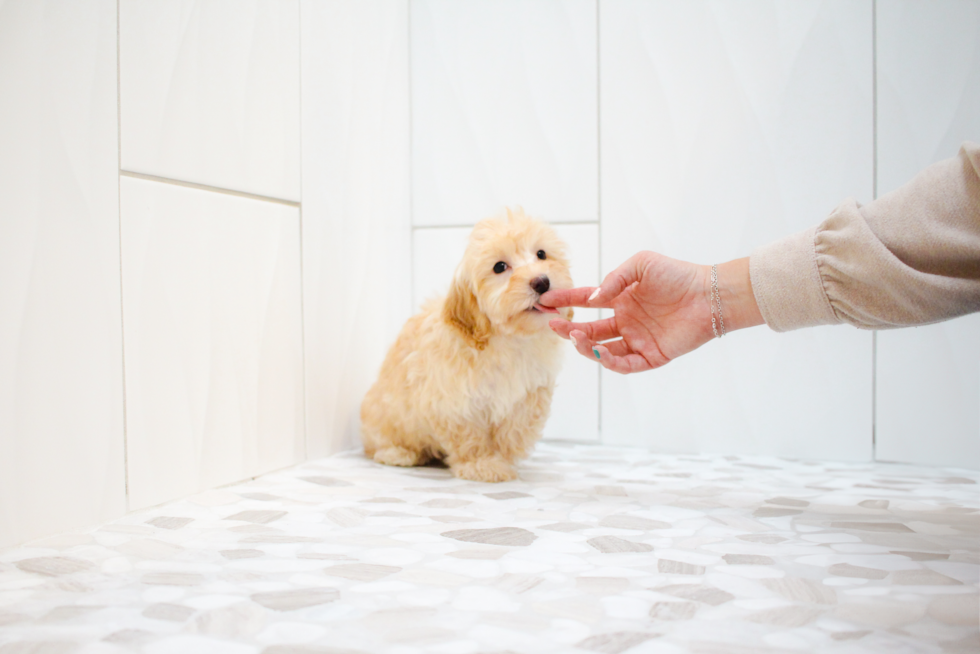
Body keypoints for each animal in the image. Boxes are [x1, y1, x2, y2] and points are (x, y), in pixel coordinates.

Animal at [362, 208, 576, 484]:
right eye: (499, 267)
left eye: (541, 254)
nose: (541, 282)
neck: (507, 339)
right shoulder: (455, 400)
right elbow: (470, 436)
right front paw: (483, 465)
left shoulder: (529, 394)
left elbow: (514, 429)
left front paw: (502, 458)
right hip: (383, 413)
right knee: (380, 443)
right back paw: (398, 453)